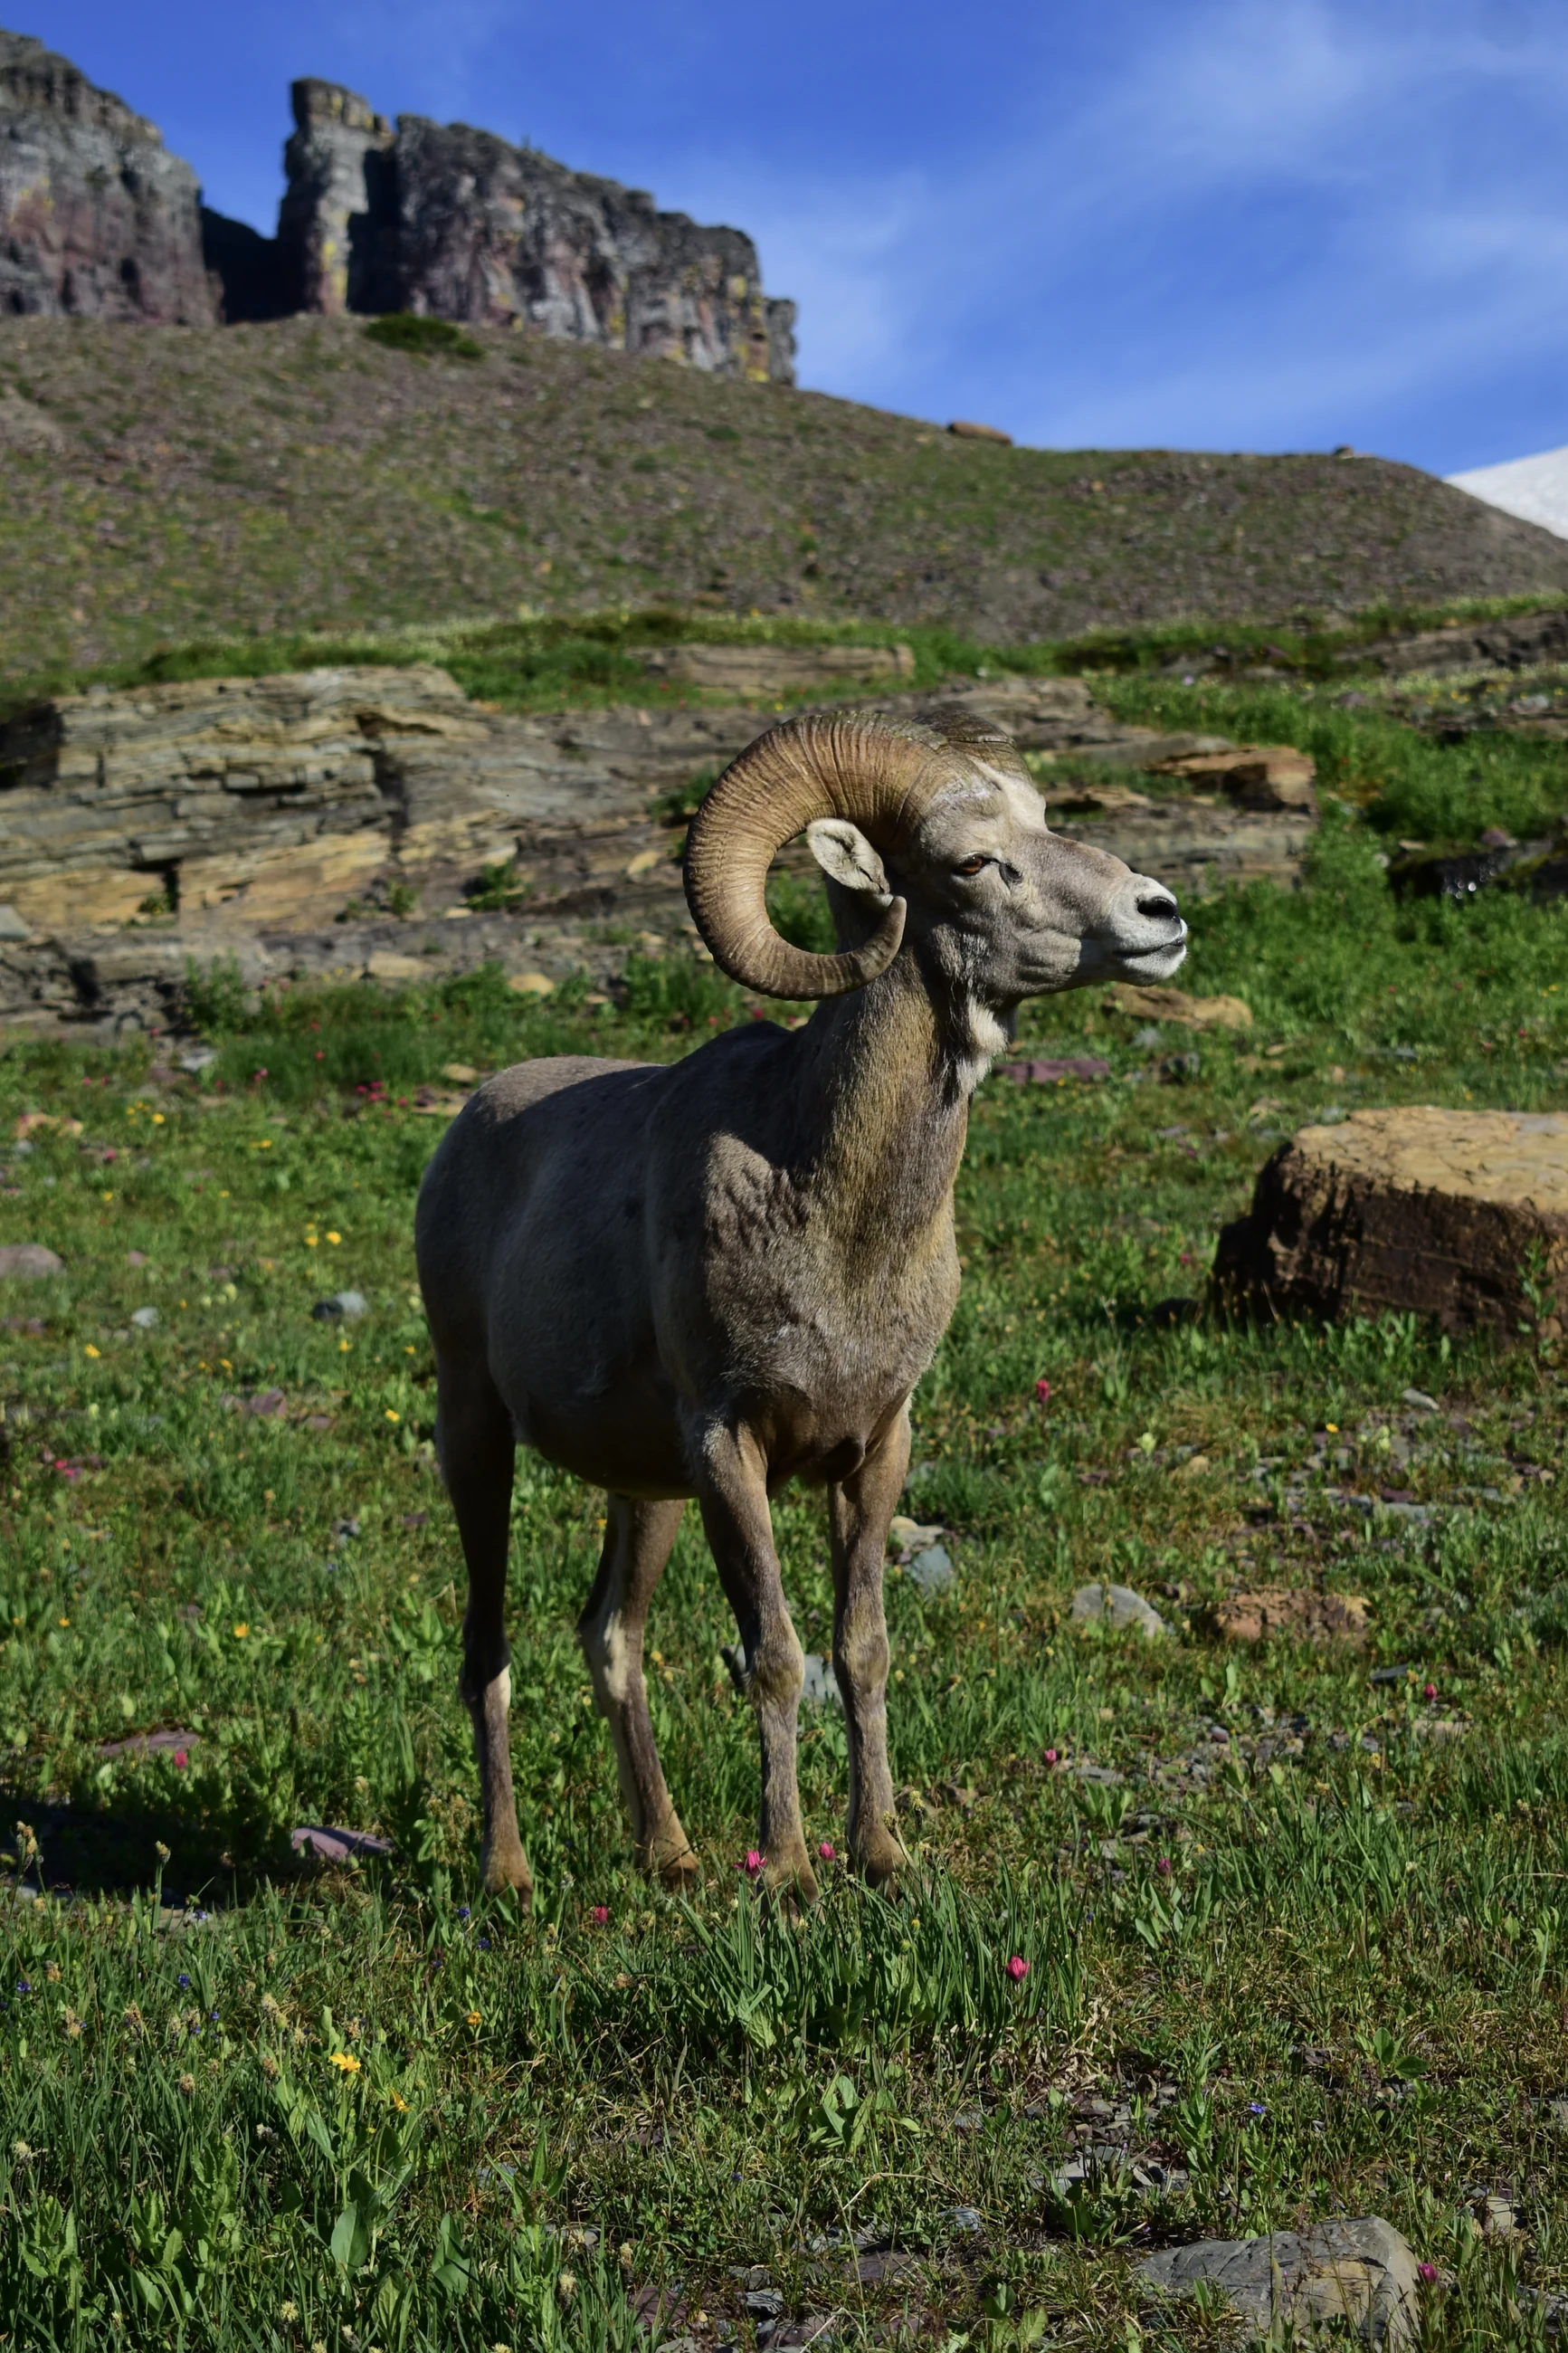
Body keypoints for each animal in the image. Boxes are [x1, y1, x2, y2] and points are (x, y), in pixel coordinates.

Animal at [415, 703, 1186, 1903]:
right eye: (971, 862)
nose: (1158, 915)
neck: (835, 1221)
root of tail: (464, 1130)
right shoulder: (730, 1446)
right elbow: (774, 1655)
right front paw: (784, 1870)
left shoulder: (873, 1447)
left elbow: (859, 1645)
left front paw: (880, 1851)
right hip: (477, 1436)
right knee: (485, 1649)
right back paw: (509, 1871)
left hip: (646, 1492)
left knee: (610, 1637)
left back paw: (671, 1854)